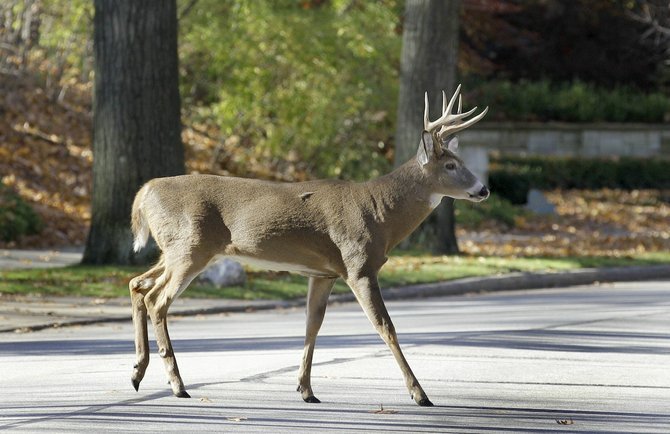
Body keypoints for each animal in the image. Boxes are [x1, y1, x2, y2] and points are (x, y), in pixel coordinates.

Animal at [128, 85, 489, 407]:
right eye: (451, 165)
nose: (483, 189)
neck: (380, 213)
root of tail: (144, 192)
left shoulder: (323, 273)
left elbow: (312, 325)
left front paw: (305, 389)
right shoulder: (358, 265)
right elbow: (385, 326)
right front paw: (419, 393)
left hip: (176, 249)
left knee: (137, 284)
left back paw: (137, 372)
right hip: (190, 247)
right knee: (157, 299)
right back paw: (176, 385)